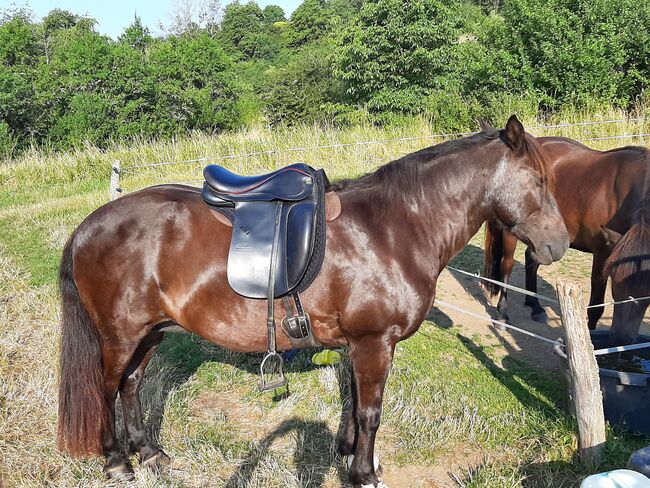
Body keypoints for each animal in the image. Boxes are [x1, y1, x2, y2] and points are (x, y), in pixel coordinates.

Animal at [60, 116, 568, 486]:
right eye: (540, 181)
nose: (559, 246)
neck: (393, 229)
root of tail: (88, 225)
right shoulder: (374, 343)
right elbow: (370, 410)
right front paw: (364, 474)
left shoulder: (358, 345)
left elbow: (353, 401)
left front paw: (347, 454)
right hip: (120, 336)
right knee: (107, 389)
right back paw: (116, 462)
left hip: (150, 333)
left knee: (131, 385)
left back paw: (149, 453)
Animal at [478, 137, 648, 340]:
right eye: (614, 280)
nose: (621, 338)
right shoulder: (602, 253)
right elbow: (595, 306)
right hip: (511, 234)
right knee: (507, 266)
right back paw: (503, 315)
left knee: (531, 261)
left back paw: (535, 306)